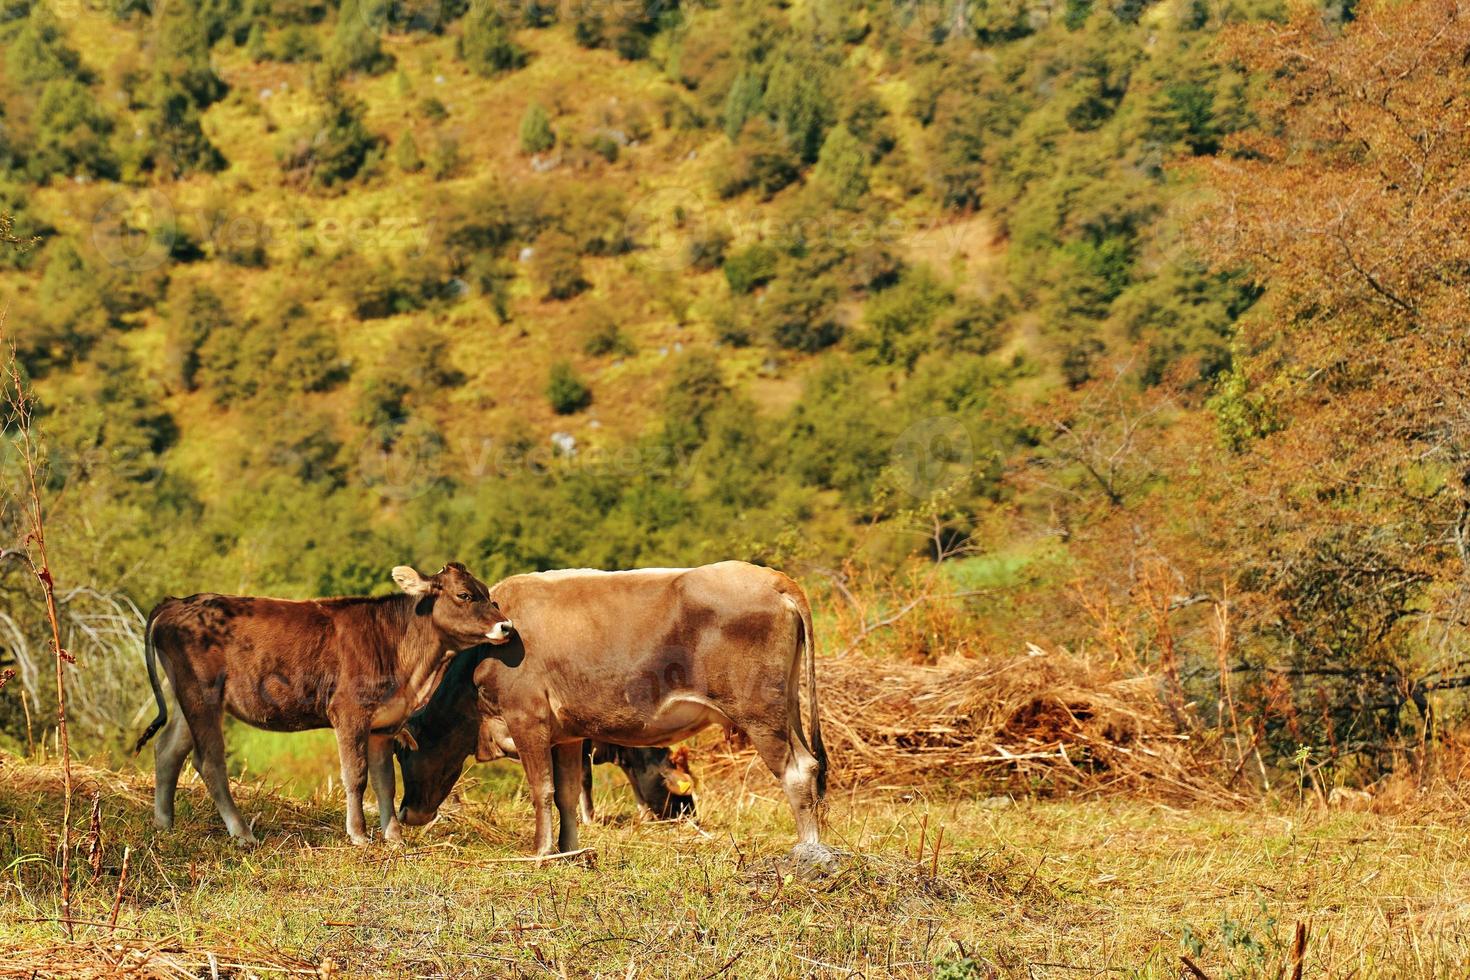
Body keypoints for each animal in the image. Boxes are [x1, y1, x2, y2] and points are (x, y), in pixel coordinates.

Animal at [132, 564, 520, 846]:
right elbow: (356, 777)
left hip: (185, 697)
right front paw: (359, 835)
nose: (507, 627)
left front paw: (394, 838)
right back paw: (242, 834)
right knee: (208, 761)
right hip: (202, 694)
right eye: (464, 594)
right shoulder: (349, 712)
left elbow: (385, 782)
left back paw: (164, 825)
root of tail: (178, 601)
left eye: (490, 596)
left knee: (168, 750)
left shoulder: (384, 724)